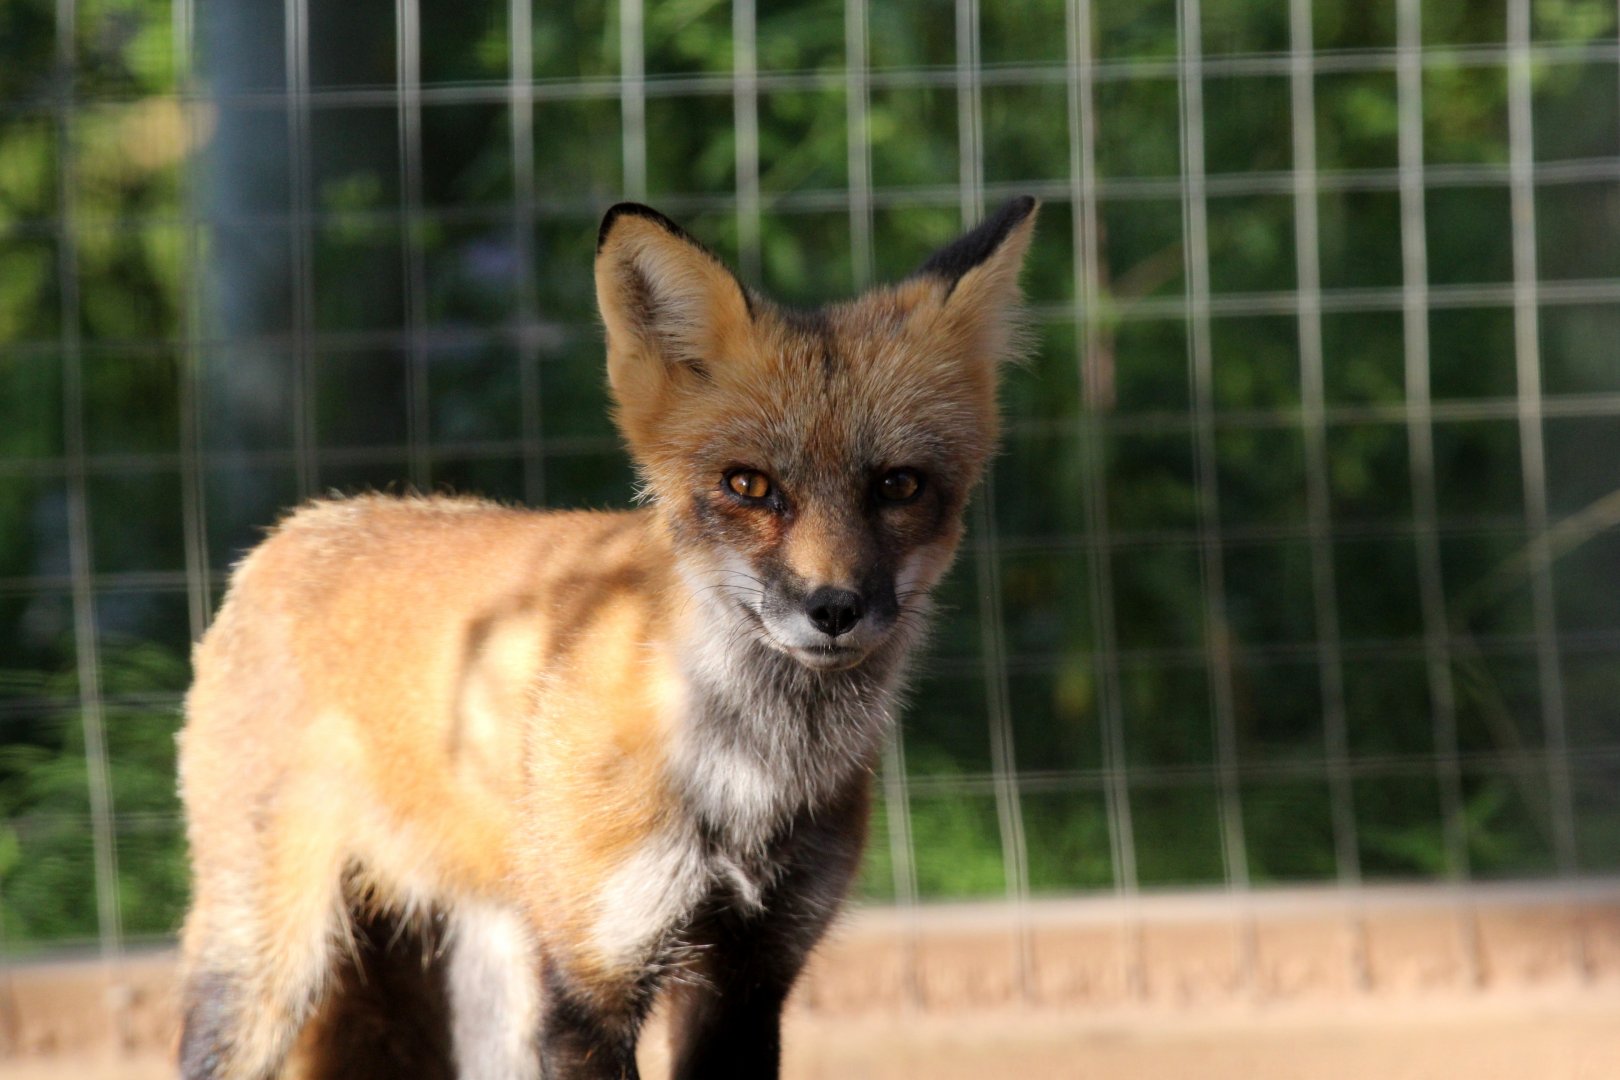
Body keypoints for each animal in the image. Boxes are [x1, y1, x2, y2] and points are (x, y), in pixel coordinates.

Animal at [175, 195, 1038, 1079]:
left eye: (898, 485)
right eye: (748, 485)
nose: (833, 607)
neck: (746, 775)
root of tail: (296, 526)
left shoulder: (751, 972)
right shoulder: (591, 984)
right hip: (269, 968)